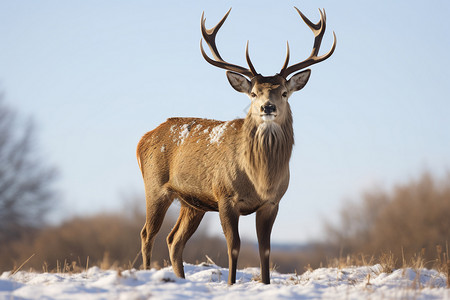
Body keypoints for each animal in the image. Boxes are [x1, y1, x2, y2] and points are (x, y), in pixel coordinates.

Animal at [136, 6, 334, 284]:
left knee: (174, 240)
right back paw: (146, 274)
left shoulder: (272, 203)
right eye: (253, 93)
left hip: (191, 203)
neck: (260, 179)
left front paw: (266, 283)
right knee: (147, 233)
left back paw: (181, 279)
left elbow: (265, 249)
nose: (267, 107)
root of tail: (144, 138)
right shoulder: (225, 196)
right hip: (155, 186)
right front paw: (230, 283)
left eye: (284, 92)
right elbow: (234, 246)